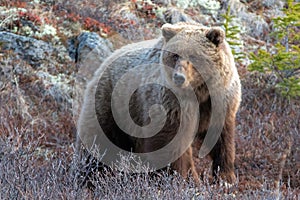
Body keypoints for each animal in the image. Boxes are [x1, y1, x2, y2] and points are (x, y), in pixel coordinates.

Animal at [77, 21, 241, 184]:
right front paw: (179, 178)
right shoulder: (170, 104)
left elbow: (222, 139)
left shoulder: (220, 103)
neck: (199, 92)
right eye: (175, 55)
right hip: (111, 103)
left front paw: (225, 177)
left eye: (194, 56)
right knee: (99, 142)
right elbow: (171, 143)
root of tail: (104, 61)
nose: (179, 77)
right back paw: (89, 175)